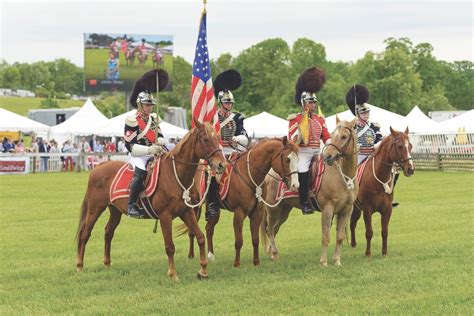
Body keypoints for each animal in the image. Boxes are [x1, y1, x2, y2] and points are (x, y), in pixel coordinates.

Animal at [75, 119, 227, 280]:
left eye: (218, 139)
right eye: (205, 139)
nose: (222, 164)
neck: (175, 175)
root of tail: (98, 167)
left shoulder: (186, 212)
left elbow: (201, 237)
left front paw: (203, 270)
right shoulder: (165, 216)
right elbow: (170, 246)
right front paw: (173, 274)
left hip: (115, 211)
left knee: (108, 232)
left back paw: (107, 263)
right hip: (95, 209)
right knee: (85, 234)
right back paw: (79, 266)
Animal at [184, 137, 298, 268]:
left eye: (298, 159)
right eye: (287, 159)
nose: (295, 185)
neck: (249, 174)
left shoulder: (256, 213)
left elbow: (255, 239)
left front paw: (256, 262)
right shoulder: (239, 212)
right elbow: (239, 241)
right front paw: (237, 263)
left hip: (214, 209)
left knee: (209, 229)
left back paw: (211, 255)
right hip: (195, 206)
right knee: (192, 231)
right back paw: (191, 255)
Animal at [260, 117, 360, 266]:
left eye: (344, 136)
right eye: (332, 135)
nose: (328, 156)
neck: (343, 176)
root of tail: (269, 174)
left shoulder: (346, 210)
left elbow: (340, 237)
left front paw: (337, 261)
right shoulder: (328, 209)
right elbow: (326, 237)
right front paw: (324, 262)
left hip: (284, 211)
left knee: (274, 229)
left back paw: (273, 254)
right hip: (273, 210)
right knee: (269, 229)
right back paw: (274, 254)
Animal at [348, 126, 414, 256]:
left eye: (410, 146)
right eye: (400, 146)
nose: (410, 169)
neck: (379, 178)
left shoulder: (387, 209)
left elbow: (384, 232)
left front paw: (384, 253)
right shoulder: (367, 210)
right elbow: (369, 232)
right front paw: (368, 253)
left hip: (357, 209)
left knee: (352, 223)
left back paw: (353, 243)